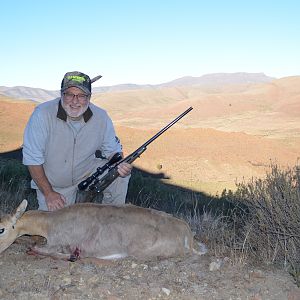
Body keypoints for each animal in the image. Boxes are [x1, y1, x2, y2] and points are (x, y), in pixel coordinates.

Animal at [0, 200, 206, 262]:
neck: (50, 223)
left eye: (1, 229)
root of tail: (187, 232)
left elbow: (38, 247)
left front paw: (73, 255)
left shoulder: (57, 243)